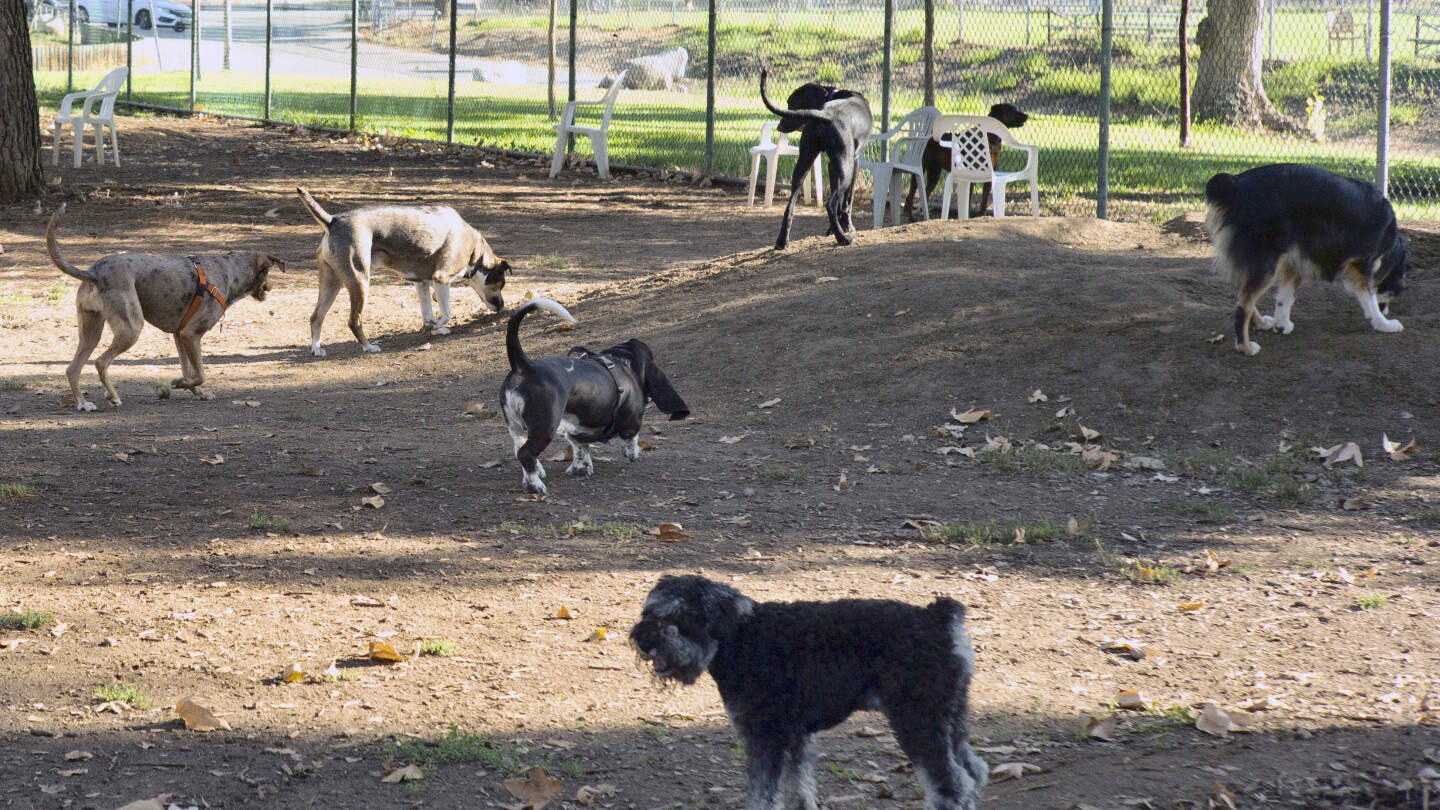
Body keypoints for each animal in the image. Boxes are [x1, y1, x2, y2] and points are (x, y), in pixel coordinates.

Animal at [295, 188, 509, 355]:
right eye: (500, 283)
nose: (502, 306)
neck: (475, 250)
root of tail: (332, 220)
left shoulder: (421, 283)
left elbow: (427, 312)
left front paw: (432, 328)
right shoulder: (441, 278)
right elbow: (446, 313)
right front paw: (436, 326)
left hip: (331, 283)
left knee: (316, 317)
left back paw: (316, 348)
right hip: (360, 282)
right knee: (354, 321)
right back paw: (368, 347)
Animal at [501, 298, 691, 492]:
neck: (622, 360)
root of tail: (525, 366)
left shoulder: (576, 428)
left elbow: (580, 447)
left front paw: (581, 468)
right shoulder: (632, 421)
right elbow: (632, 438)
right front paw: (633, 453)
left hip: (517, 427)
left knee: (519, 449)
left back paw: (535, 475)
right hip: (545, 428)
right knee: (525, 453)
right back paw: (535, 485)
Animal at [633, 573, 990, 807]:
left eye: (679, 616)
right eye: (647, 611)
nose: (642, 639)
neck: (738, 637)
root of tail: (940, 617)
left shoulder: (766, 735)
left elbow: (762, 794)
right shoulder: (796, 737)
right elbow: (798, 788)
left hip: (918, 721)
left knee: (952, 786)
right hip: (952, 720)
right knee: (974, 772)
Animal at [760, 69, 869, 249]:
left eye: (793, 104)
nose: (779, 127)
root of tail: (825, 114)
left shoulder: (832, 165)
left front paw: (833, 229)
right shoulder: (855, 161)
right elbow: (847, 200)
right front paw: (847, 227)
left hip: (804, 163)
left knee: (790, 206)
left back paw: (782, 241)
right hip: (845, 167)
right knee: (831, 204)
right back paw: (842, 238)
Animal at [1203, 162, 1405, 354]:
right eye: (1394, 290)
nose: (1387, 310)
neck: (1390, 242)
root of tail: (1237, 184)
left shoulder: (1295, 260)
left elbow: (1286, 296)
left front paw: (1281, 324)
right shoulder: (1360, 263)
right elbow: (1369, 297)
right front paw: (1383, 323)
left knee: (1243, 295)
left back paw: (1261, 324)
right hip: (1267, 262)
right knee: (1243, 303)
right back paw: (1244, 347)